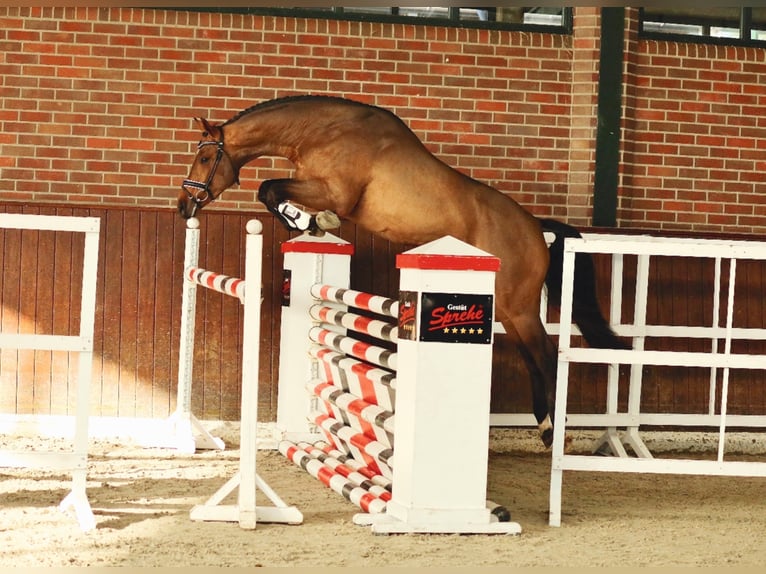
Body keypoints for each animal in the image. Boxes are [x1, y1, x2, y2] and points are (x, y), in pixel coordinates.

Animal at [180, 94, 632, 448]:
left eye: (205, 156)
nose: (184, 206)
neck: (323, 132)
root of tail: (536, 228)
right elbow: (270, 190)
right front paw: (308, 223)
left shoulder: (334, 192)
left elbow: (270, 189)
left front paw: (311, 221)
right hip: (508, 309)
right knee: (533, 359)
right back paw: (545, 427)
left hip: (517, 307)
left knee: (547, 357)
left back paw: (558, 433)